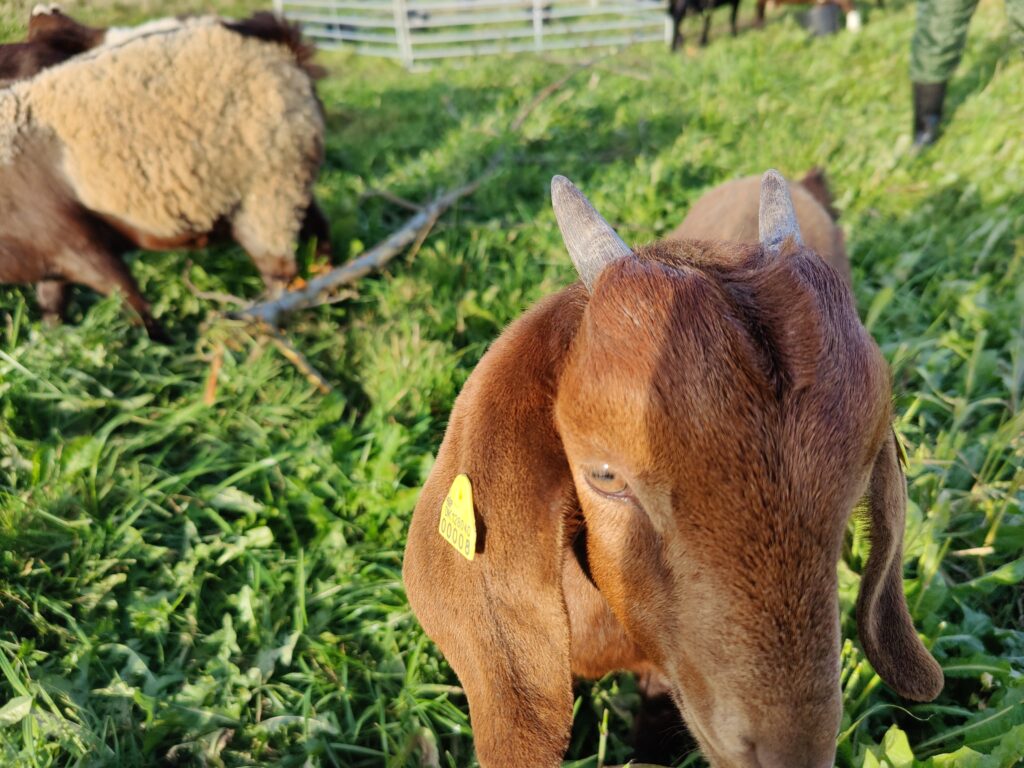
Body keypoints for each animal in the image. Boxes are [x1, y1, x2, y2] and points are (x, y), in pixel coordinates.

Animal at [0, 13, 325, 337]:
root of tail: (282, 47)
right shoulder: (53, 264)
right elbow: (53, 307)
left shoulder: (82, 249)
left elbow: (135, 305)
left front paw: (165, 344)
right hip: (292, 183)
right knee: (318, 235)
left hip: (268, 196)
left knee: (280, 272)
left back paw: (265, 325)